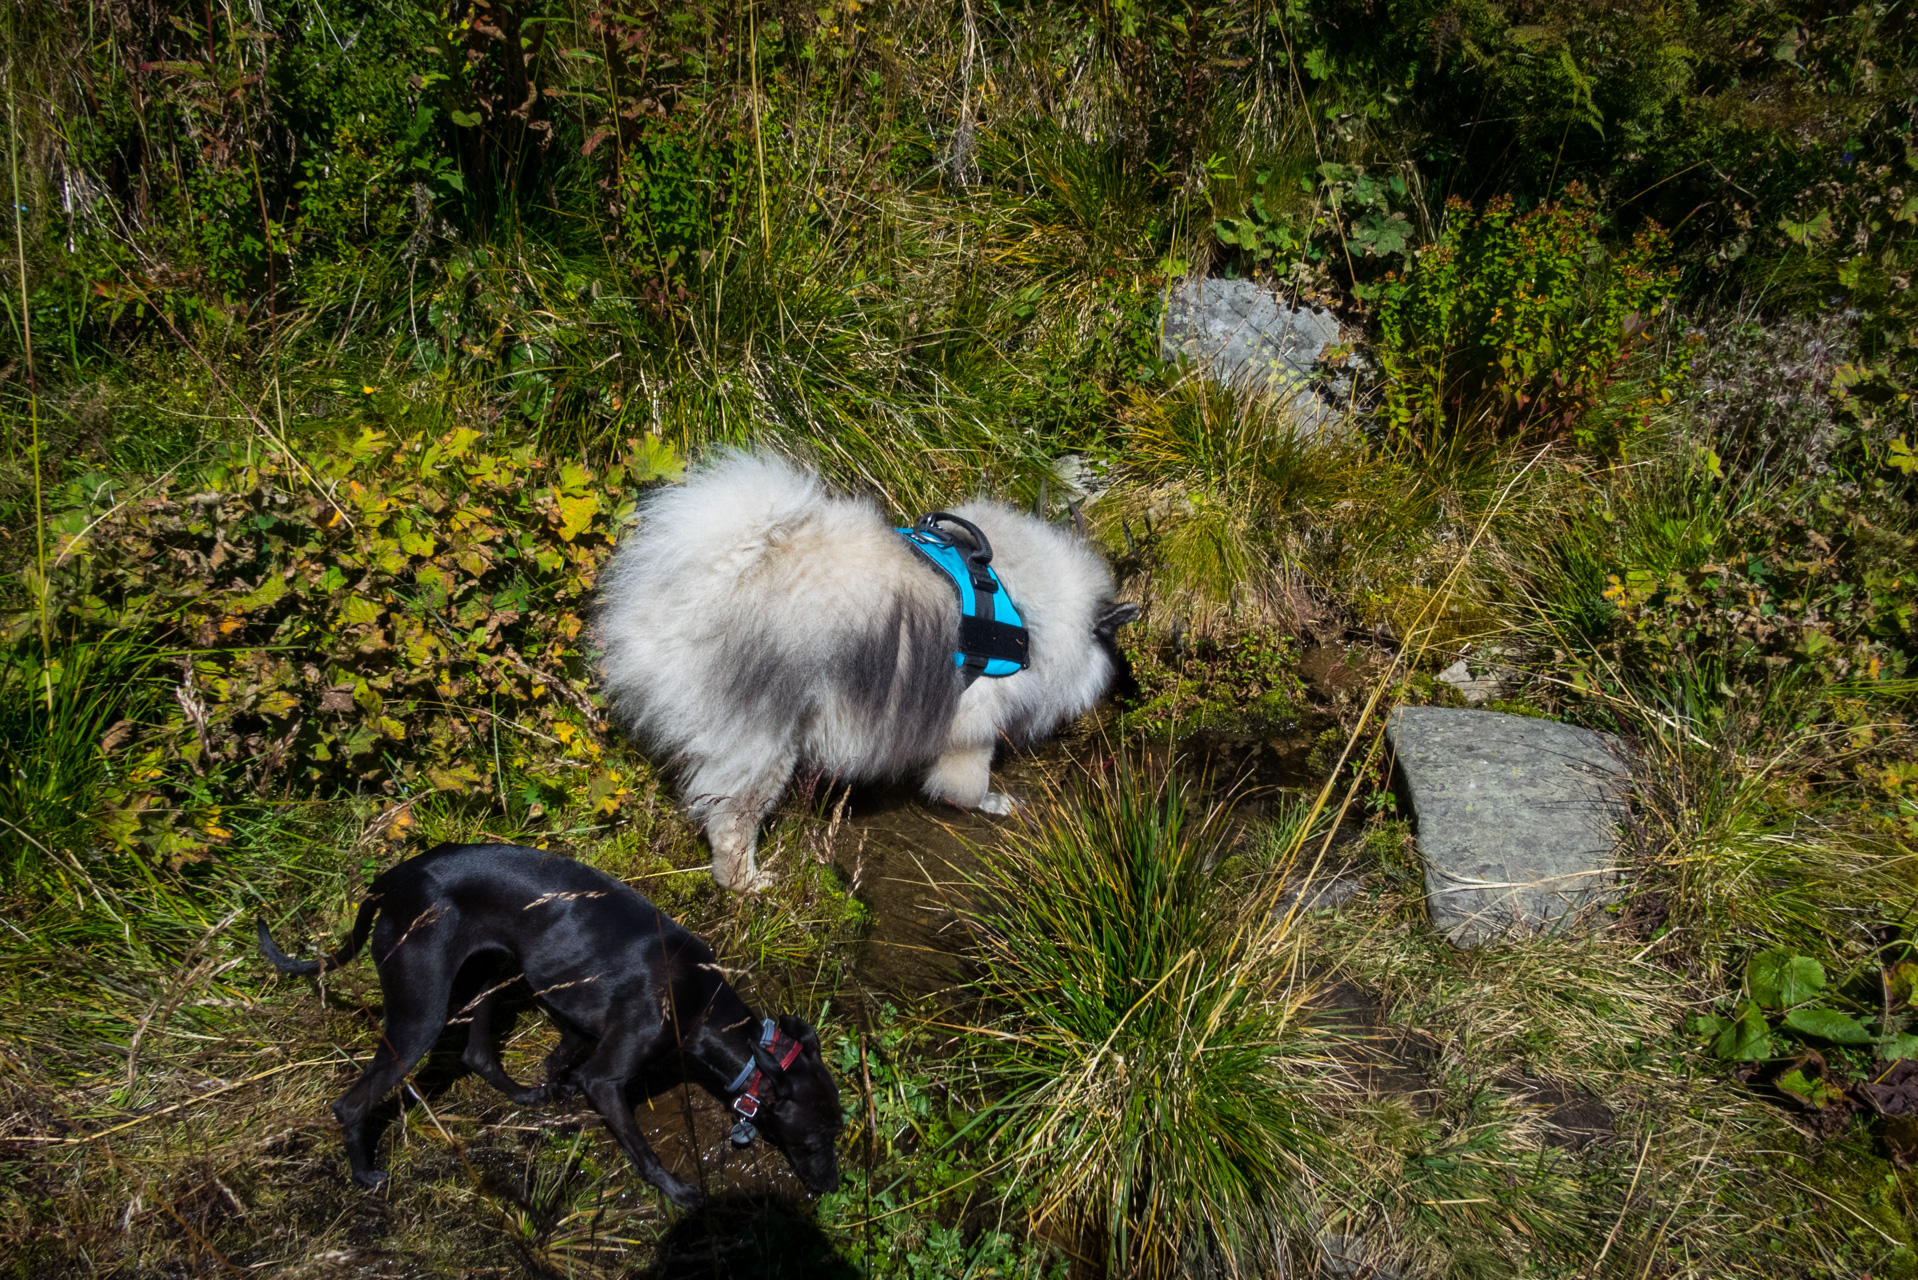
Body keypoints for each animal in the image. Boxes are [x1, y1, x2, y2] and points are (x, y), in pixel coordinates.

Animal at [258, 844, 843, 1205]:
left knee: (476, 1052)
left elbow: (558, 1058)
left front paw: (555, 1089)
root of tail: (390, 881)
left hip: (489, 974)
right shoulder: (606, 1077)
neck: (701, 1002)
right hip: (420, 1012)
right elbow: (638, 1146)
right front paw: (676, 1192)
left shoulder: (579, 1025)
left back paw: (521, 1095)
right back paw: (363, 1174)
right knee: (351, 1102)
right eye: (819, 1138)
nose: (832, 1186)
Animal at [598, 452, 1135, 890]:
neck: (1025, 611)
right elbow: (967, 788)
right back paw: (750, 884)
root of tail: (707, 577)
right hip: (763, 745)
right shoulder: (971, 727)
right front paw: (996, 803)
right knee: (730, 823)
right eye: (1109, 643)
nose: (1125, 683)